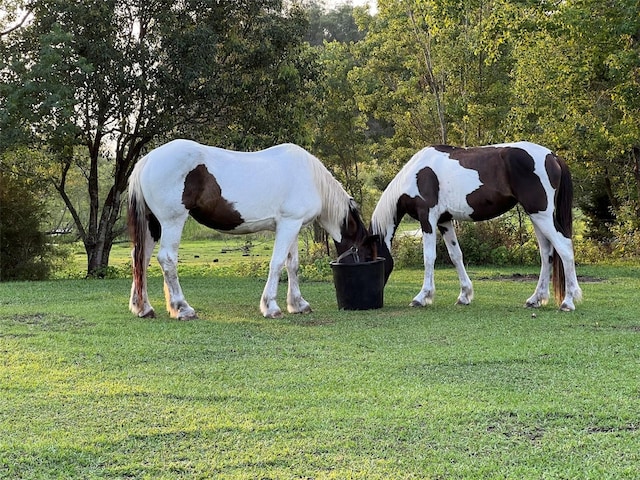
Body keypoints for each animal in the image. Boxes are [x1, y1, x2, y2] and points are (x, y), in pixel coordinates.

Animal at [127, 139, 376, 318]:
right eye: (365, 255)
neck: (311, 178)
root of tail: (147, 160)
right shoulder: (288, 224)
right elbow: (277, 263)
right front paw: (271, 307)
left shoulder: (293, 226)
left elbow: (292, 265)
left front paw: (298, 304)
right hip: (172, 221)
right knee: (167, 259)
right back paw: (182, 308)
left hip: (152, 225)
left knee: (141, 259)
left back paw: (144, 308)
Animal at [370, 142, 584, 312]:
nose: (377, 296)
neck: (416, 174)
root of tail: (552, 156)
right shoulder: (444, 222)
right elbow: (456, 255)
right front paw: (464, 295)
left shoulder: (427, 218)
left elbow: (429, 257)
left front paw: (422, 297)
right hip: (537, 217)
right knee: (547, 253)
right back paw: (535, 299)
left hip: (542, 215)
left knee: (564, 248)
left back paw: (568, 301)